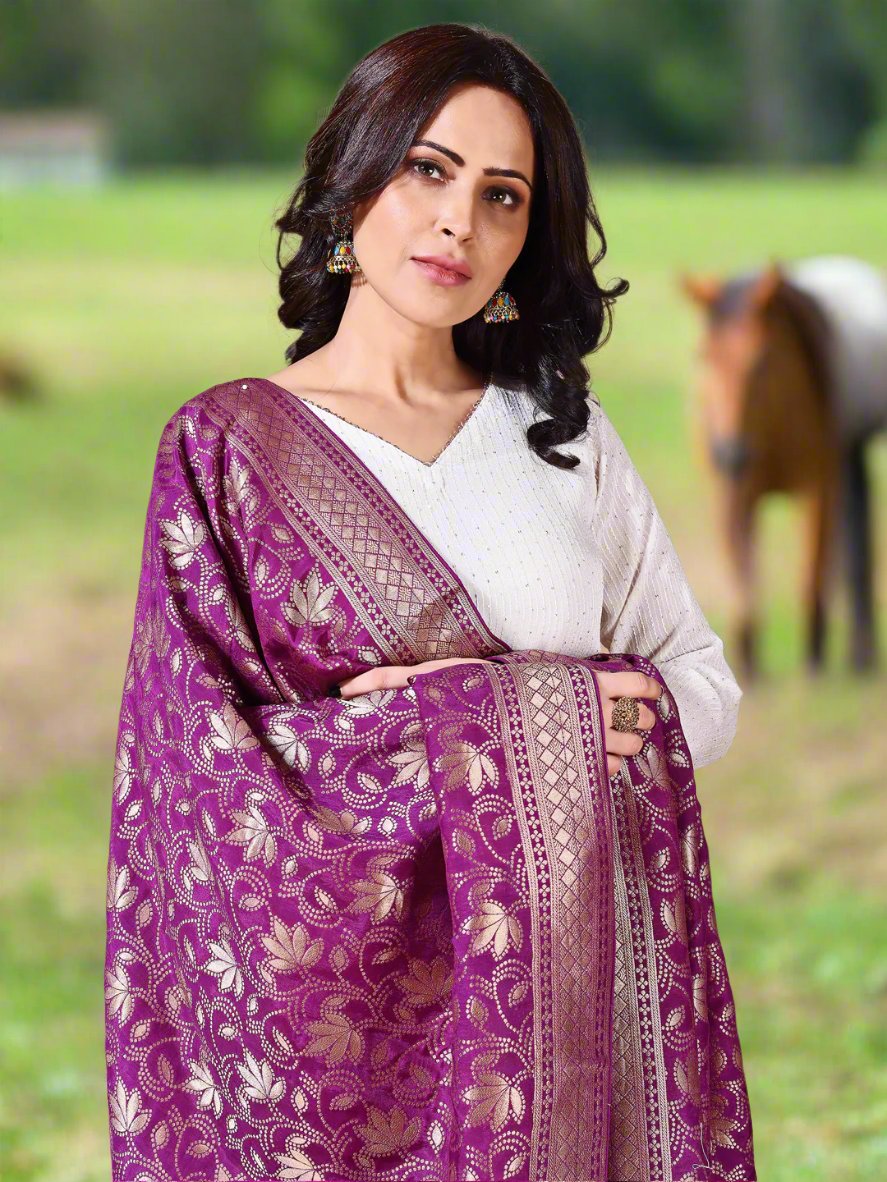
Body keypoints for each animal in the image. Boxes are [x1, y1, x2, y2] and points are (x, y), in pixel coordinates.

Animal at [681, 252, 887, 680]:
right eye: (704, 356)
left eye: (761, 362)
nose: (728, 452)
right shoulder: (732, 494)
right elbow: (743, 578)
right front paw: (748, 661)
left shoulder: (818, 489)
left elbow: (812, 573)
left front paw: (813, 660)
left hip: (847, 457)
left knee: (855, 551)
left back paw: (859, 654)